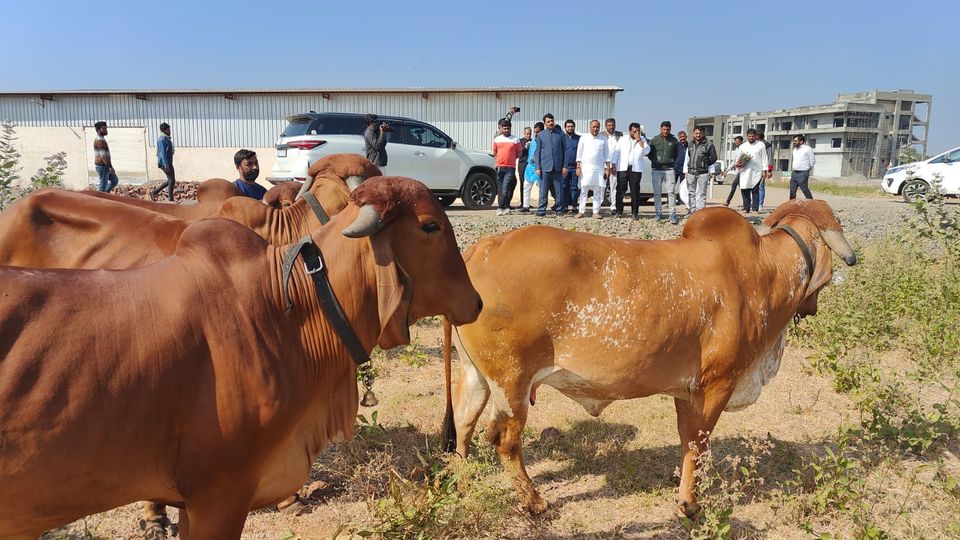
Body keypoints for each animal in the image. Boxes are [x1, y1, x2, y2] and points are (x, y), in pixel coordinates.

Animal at [441, 199, 857, 517]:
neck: (762, 272)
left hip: (476, 375)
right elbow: (698, 445)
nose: (813, 308)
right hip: (511, 382)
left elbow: (686, 441)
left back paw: (461, 485)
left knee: (463, 424)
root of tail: (481, 249)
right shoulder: (717, 383)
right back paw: (534, 502)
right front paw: (689, 504)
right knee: (504, 441)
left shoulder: (686, 390)